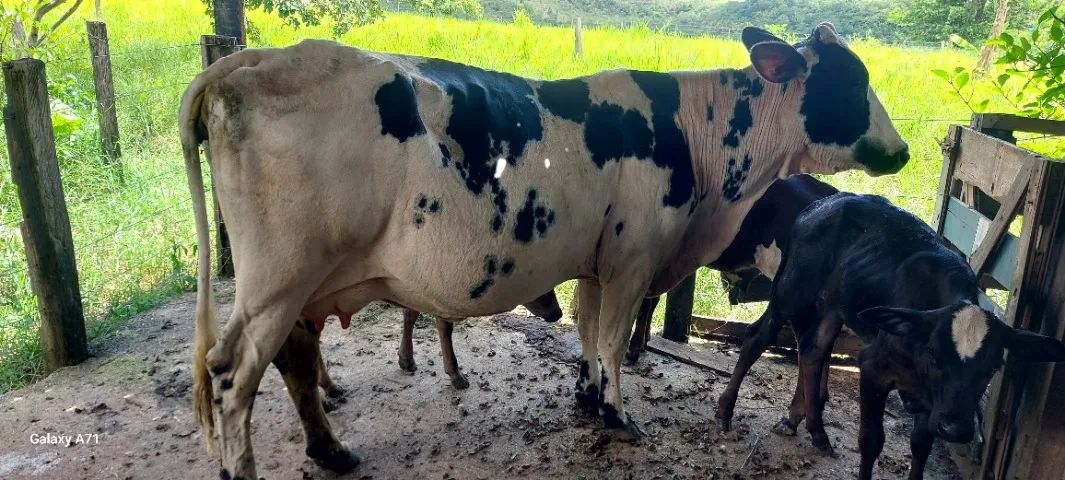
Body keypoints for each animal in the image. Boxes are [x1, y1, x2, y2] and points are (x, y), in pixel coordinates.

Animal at [713, 192, 1065, 479]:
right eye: (935, 354)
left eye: (994, 367)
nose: (955, 429)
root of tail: (821, 204)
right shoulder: (873, 367)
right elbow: (871, 440)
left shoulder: (931, 400)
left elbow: (921, 446)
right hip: (791, 291)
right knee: (757, 338)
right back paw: (725, 411)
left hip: (833, 306)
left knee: (813, 351)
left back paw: (815, 431)